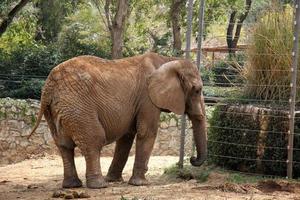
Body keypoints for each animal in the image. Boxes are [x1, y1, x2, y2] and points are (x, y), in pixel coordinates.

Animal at [28, 52, 206, 189]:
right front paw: (140, 184)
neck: (168, 60)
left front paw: (115, 180)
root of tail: (49, 87)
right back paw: (99, 186)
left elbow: (126, 137)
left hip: (55, 111)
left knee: (64, 145)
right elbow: (146, 132)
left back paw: (72, 186)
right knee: (93, 140)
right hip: (78, 107)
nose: (192, 159)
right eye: (197, 90)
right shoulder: (147, 98)